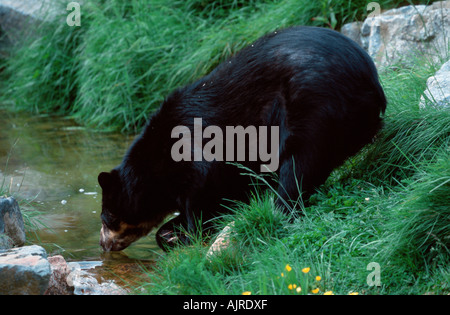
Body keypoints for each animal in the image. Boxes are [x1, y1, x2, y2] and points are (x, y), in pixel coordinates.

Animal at [98, 27, 386, 254]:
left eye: (106, 217)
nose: (103, 244)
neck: (156, 163)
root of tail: (372, 84)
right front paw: (172, 233)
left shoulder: (195, 158)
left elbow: (204, 198)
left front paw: (186, 236)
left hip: (314, 110)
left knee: (298, 167)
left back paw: (279, 211)